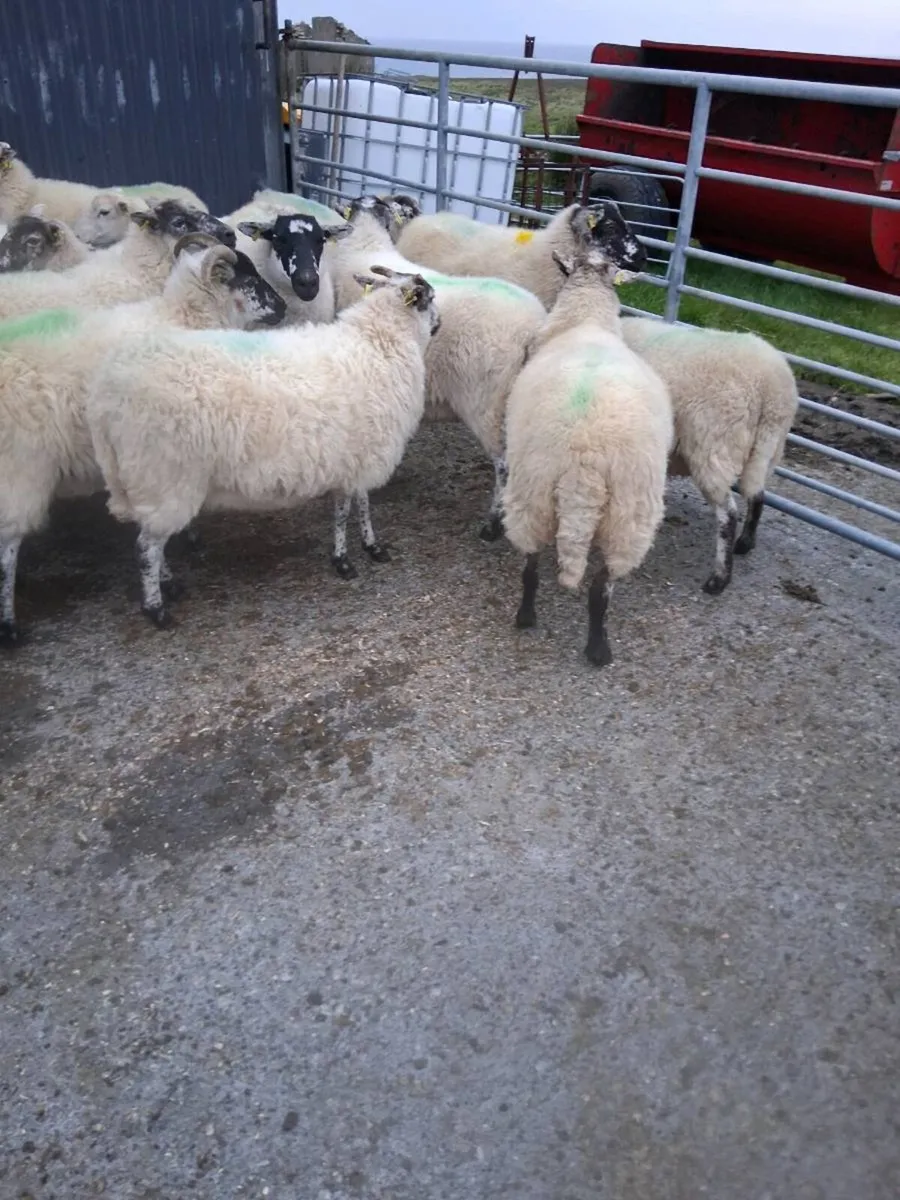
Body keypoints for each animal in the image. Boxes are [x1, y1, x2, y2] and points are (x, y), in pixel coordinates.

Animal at [0, 234, 286, 645]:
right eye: (246, 278)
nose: (282, 306)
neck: (181, 318)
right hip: (22, 465)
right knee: (7, 550)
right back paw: (9, 624)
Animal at [84, 267, 439, 628]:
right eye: (429, 298)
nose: (439, 324)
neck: (380, 341)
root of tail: (104, 398)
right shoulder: (359, 459)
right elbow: (348, 511)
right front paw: (350, 557)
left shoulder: (355, 458)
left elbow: (356, 506)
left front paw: (363, 549)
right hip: (163, 478)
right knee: (146, 549)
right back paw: (157, 608)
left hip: (148, 483)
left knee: (151, 541)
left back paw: (168, 584)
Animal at [501, 242, 673, 668]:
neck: (587, 320)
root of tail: (586, 458)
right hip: (629, 516)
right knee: (601, 586)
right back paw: (596, 647)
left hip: (535, 492)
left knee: (532, 565)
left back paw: (530, 617)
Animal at [621, 317, 799, 593]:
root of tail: (771, 388)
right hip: (768, 448)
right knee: (757, 494)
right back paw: (745, 543)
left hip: (714, 446)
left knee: (728, 514)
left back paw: (719, 579)